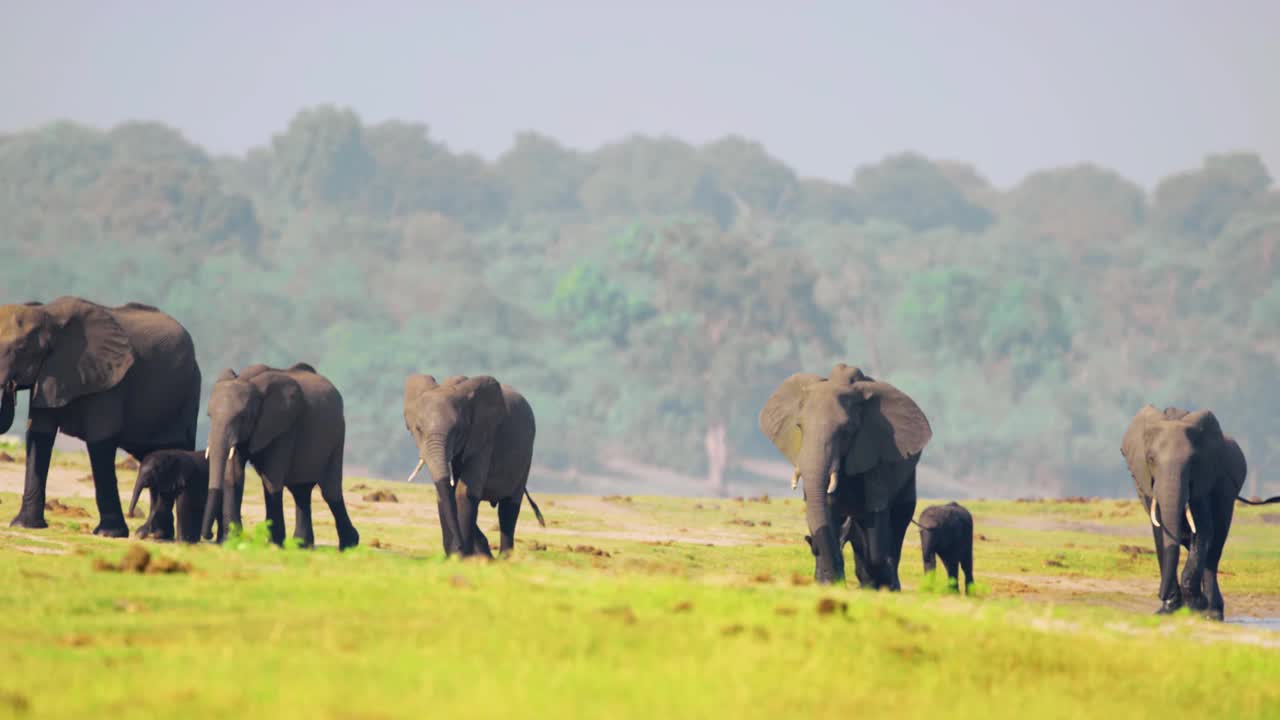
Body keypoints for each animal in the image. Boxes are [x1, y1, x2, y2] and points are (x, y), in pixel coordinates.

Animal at [0, 294, 200, 535]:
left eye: (21, 349)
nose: (10, 387)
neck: (47, 314)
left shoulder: (109, 380)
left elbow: (100, 442)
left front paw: (109, 534)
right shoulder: (49, 375)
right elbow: (39, 436)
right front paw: (25, 525)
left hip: (188, 396)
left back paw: (157, 536)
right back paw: (151, 535)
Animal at [199, 361, 360, 545]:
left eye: (242, 416)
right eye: (209, 416)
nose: (208, 535)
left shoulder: (284, 427)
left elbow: (271, 480)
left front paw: (274, 543)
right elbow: (233, 476)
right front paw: (230, 540)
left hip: (337, 434)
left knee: (330, 491)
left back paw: (350, 543)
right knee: (301, 491)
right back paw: (301, 544)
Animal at [404, 371, 545, 558]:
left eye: (457, 431)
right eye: (418, 429)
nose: (458, 546)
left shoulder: (483, 439)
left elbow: (463, 492)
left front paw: (461, 558)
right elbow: (445, 492)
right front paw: (456, 557)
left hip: (526, 456)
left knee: (509, 509)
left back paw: (504, 560)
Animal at [757, 361, 931, 586]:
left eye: (846, 431)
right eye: (799, 427)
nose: (810, 542)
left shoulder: (878, 448)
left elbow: (875, 514)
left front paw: (879, 582)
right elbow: (829, 509)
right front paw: (830, 583)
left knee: (899, 518)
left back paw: (888, 582)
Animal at [1121, 404, 1280, 617]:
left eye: (1193, 461)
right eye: (1151, 459)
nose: (1161, 595)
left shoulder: (1205, 480)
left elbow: (1203, 531)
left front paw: (1194, 606)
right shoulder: (1144, 482)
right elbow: (1160, 532)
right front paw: (1168, 610)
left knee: (1214, 548)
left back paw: (1212, 613)